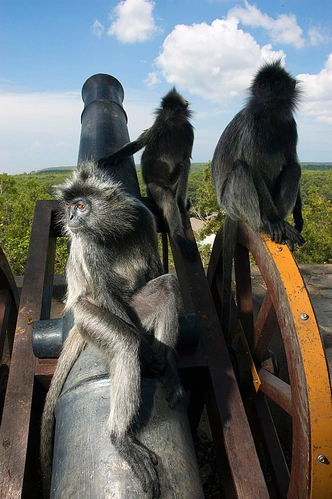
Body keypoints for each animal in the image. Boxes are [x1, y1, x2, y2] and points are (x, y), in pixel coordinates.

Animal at [40, 164, 185, 499]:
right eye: (69, 206)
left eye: (81, 206)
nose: (70, 218)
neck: (110, 229)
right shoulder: (85, 244)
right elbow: (105, 293)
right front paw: (149, 356)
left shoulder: (142, 215)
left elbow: (156, 268)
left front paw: (161, 361)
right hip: (87, 316)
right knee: (124, 340)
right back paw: (120, 437)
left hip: (134, 308)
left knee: (168, 286)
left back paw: (168, 370)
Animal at [98, 88, 197, 264]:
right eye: (166, 107)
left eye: (173, 106)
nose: (167, 111)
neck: (173, 125)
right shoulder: (160, 124)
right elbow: (137, 144)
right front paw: (110, 158)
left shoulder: (188, 131)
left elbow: (186, 158)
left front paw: (182, 206)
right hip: (153, 188)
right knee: (166, 194)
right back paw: (180, 238)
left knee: (184, 166)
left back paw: (181, 205)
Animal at [211, 57, 304, 340]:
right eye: (263, 85)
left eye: (275, 83)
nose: (268, 93)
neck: (271, 119)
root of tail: (228, 211)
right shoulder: (253, 125)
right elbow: (252, 168)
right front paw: (272, 221)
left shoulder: (290, 125)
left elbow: (292, 160)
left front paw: (296, 217)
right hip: (233, 202)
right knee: (242, 168)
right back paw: (265, 224)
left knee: (293, 168)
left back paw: (285, 225)